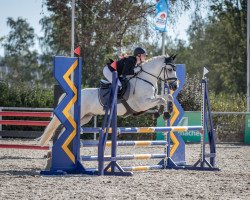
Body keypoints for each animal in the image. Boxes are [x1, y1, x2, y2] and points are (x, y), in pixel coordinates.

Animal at [39, 54, 178, 145]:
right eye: (170, 69)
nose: (175, 86)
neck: (145, 78)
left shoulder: (150, 99)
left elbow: (167, 97)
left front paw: (168, 111)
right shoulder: (142, 104)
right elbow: (161, 100)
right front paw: (161, 113)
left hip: (86, 117)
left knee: (64, 131)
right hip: (75, 116)